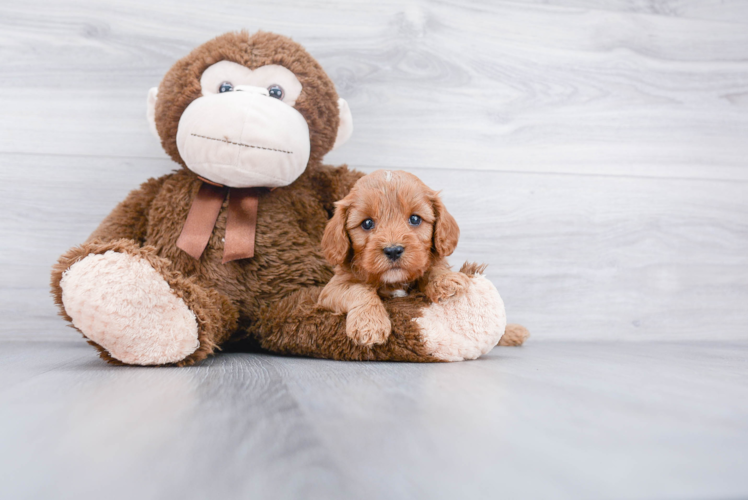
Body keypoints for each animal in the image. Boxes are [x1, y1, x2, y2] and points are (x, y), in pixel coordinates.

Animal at [318, 170, 470, 346]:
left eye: (415, 219)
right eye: (367, 223)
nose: (393, 251)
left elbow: (431, 268)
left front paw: (445, 279)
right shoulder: (331, 289)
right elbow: (358, 289)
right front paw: (369, 323)